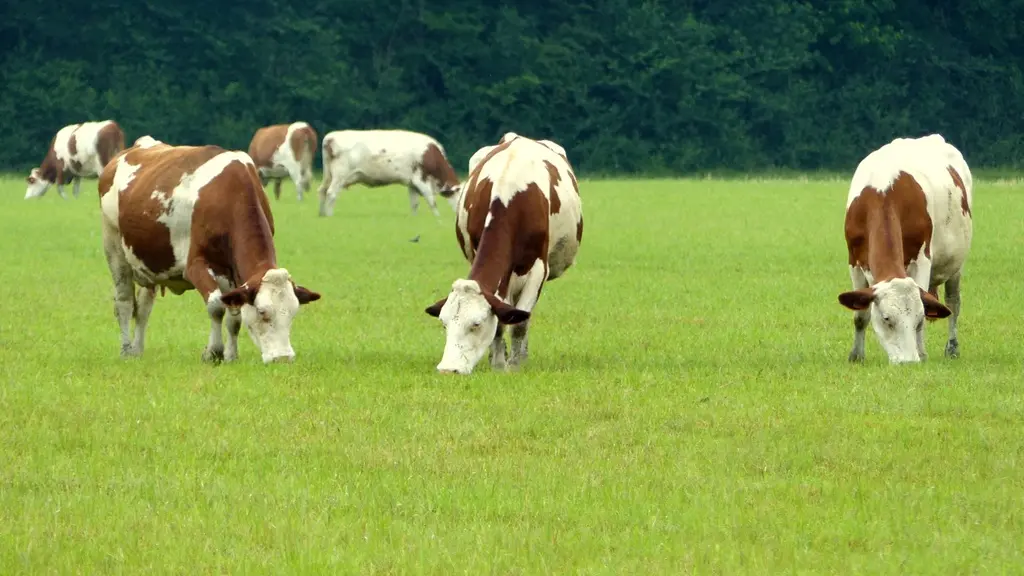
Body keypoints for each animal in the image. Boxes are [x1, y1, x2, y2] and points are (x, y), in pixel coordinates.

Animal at [97, 136, 321, 364]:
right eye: (262, 312)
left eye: (293, 313)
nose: (283, 358)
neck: (231, 194)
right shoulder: (195, 265)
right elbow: (215, 306)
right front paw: (213, 352)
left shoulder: (234, 273)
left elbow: (234, 316)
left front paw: (231, 355)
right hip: (114, 247)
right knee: (124, 302)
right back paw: (126, 350)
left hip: (148, 263)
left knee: (143, 307)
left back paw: (137, 349)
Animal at [317, 129, 460, 218]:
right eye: (459, 196)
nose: (459, 215)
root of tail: (330, 137)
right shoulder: (421, 179)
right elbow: (431, 200)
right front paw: (438, 219)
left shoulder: (412, 182)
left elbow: (414, 203)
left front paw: (415, 218)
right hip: (339, 175)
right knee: (331, 193)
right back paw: (329, 215)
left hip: (328, 175)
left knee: (322, 190)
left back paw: (322, 214)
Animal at [423, 135, 584, 375]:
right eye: (445, 323)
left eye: (476, 324)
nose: (448, 369)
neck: (509, 195)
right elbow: (501, 321)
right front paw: (498, 363)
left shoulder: (538, 269)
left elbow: (519, 323)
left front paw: (515, 366)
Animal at [838, 134, 972, 364]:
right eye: (886, 319)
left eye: (918, 319)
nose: (908, 362)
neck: (882, 191)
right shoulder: (854, 260)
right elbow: (860, 315)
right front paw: (856, 356)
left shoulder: (922, 259)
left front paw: (922, 353)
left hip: (956, 264)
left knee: (953, 302)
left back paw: (952, 348)